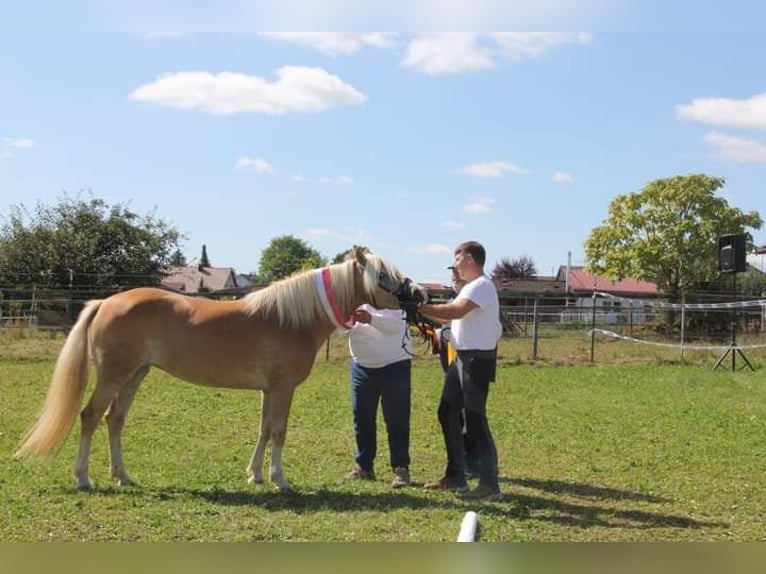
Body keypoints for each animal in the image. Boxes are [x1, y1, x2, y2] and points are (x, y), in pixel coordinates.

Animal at [12, 250, 420, 492]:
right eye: (383, 275)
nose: (418, 294)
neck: (290, 318)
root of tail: (106, 301)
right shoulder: (283, 388)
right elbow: (279, 432)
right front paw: (280, 480)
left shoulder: (269, 390)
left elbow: (263, 430)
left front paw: (255, 474)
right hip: (114, 375)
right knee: (91, 416)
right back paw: (83, 478)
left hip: (136, 374)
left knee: (115, 420)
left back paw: (123, 476)